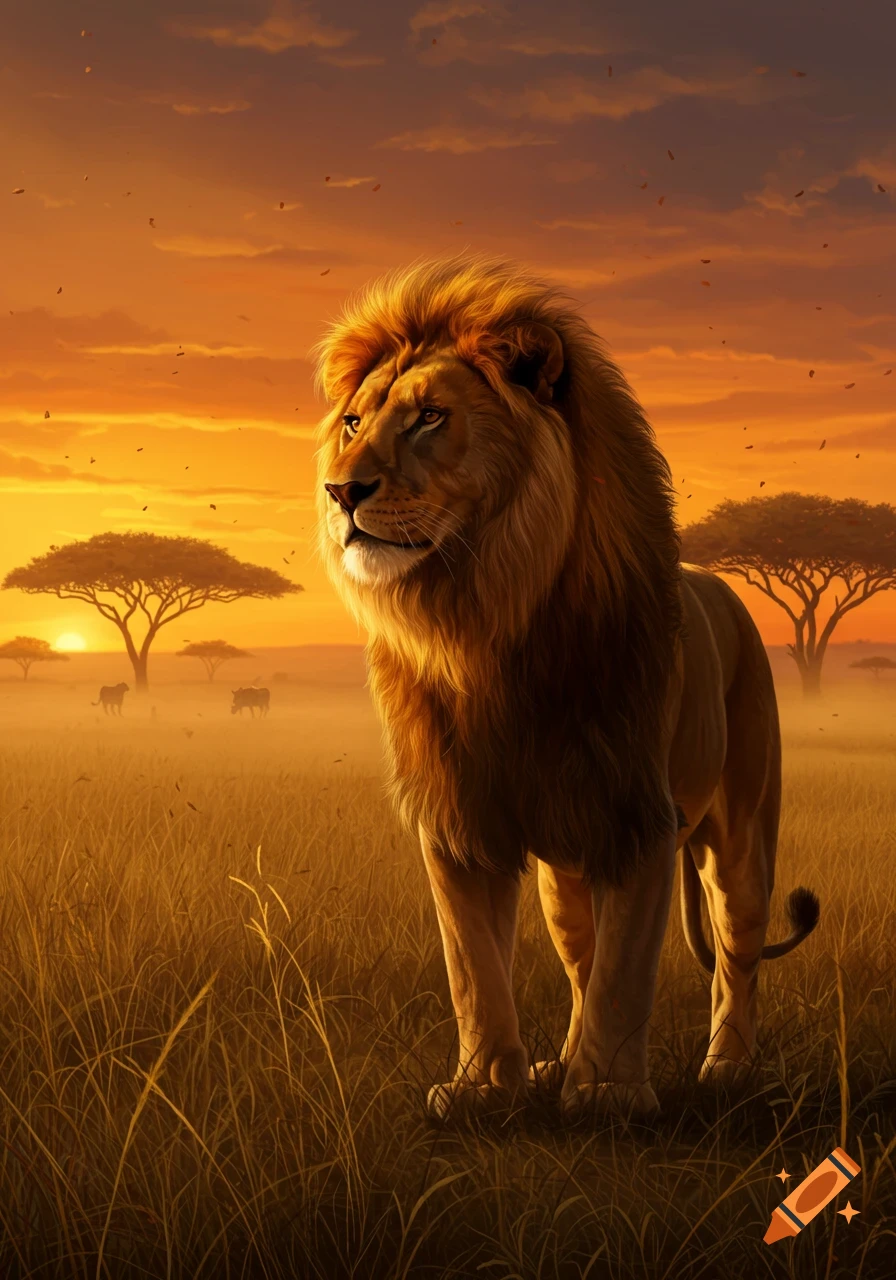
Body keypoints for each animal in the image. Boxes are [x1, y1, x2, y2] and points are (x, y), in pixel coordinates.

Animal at [312, 253, 820, 1124]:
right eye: (352, 423)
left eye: (430, 418)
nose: (343, 492)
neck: (485, 622)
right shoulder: (460, 822)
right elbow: (476, 971)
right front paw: (485, 1088)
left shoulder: (638, 817)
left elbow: (625, 973)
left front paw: (611, 1095)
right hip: (565, 873)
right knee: (581, 959)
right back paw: (559, 1066)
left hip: (742, 834)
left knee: (736, 951)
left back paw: (727, 1067)